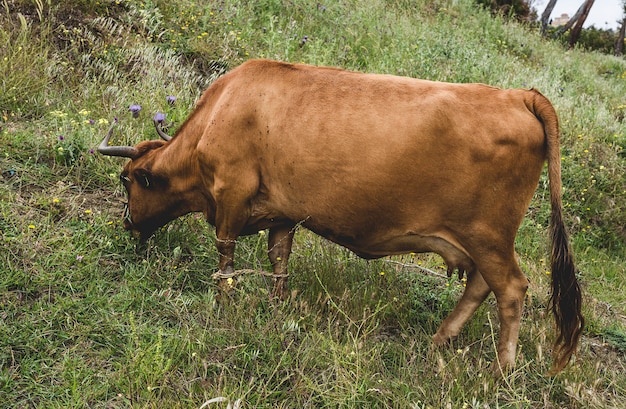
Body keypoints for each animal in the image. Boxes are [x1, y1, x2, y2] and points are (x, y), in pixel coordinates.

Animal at [97, 59, 580, 374]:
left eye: (126, 179)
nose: (126, 223)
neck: (222, 110)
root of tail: (520, 95)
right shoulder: (283, 212)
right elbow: (279, 259)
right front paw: (277, 305)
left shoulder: (231, 193)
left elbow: (226, 254)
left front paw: (224, 302)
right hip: (481, 241)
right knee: (481, 286)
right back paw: (438, 340)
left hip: (488, 236)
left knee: (511, 289)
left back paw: (502, 369)